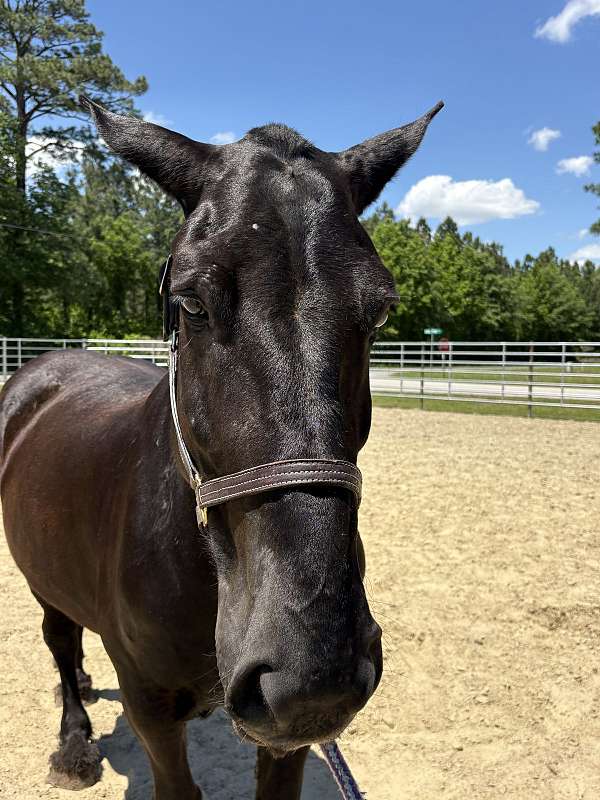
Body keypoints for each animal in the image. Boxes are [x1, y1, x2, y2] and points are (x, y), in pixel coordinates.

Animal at [0, 95, 442, 799]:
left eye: (378, 311)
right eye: (191, 302)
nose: (311, 672)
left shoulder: (286, 737)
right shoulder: (151, 707)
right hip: (39, 577)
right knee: (60, 640)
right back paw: (73, 745)